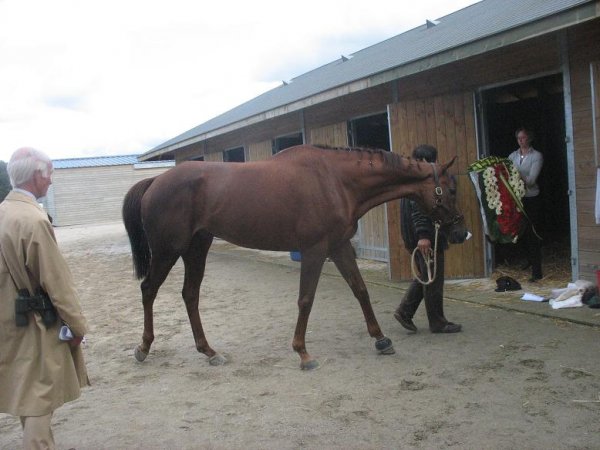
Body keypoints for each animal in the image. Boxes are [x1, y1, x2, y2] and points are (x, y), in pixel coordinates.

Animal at [123, 144, 468, 370]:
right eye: (451, 190)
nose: (460, 233)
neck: (334, 181)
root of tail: (155, 181)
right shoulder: (314, 250)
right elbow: (306, 299)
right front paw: (303, 353)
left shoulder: (339, 246)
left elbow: (360, 290)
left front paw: (381, 340)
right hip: (168, 250)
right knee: (149, 290)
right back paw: (143, 347)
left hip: (197, 247)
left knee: (190, 294)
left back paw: (209, 351)